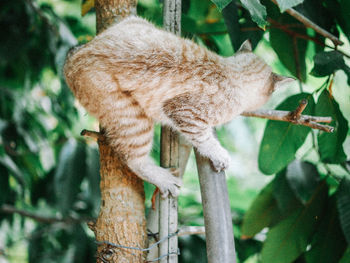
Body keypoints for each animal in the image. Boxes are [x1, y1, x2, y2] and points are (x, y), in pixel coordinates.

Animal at [64, 15, 294, 199]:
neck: (232, 73)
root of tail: (75, 58)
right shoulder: (183, 112)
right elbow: (204, 138)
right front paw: (219, 155)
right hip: (135, 119)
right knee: (133, 159)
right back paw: (164, 179)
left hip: (134, 21)